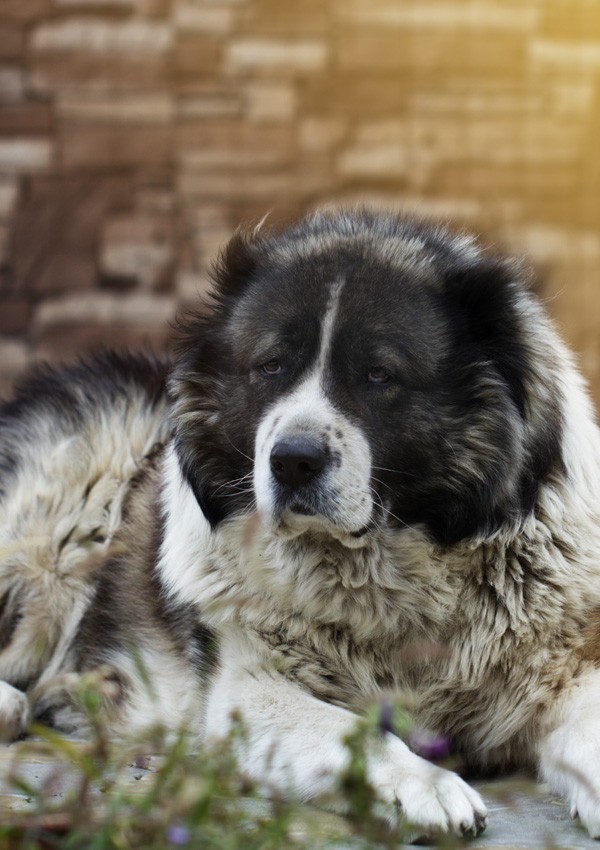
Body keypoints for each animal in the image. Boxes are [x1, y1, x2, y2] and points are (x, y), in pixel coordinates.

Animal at [1, 210, 600, 836]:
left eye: (379, 374)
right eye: (270, 366)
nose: (292, 460)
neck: (387, 582)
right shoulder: (251, 687)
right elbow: (351, 729)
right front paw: (428, 786)